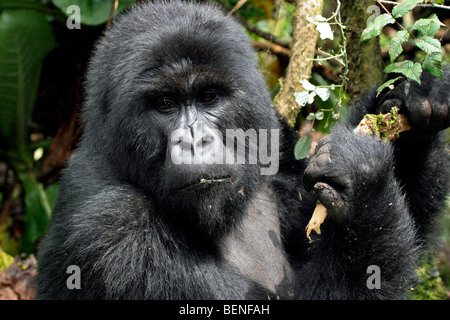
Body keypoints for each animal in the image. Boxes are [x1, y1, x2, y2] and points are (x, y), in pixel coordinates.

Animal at [37, 1, 450, 298]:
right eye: (165, 105)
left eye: (209, 97)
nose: (195, 141)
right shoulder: (111, 227)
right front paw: (367, 181)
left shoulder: (276, 139)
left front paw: (412, 102)